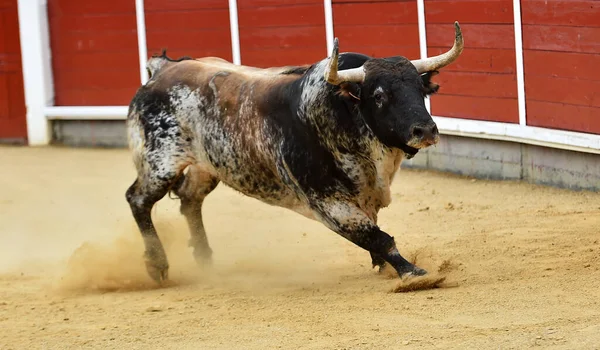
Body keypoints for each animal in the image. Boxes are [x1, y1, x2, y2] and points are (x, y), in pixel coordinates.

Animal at [125, 21, 464, 284]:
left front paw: (384, 267)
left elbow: (374, 233)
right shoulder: (327, 202)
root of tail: (162, 70)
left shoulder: (365, 194)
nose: (425, 131)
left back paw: (205, 259)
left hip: (207, 165)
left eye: (420, 90)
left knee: (190, 198)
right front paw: (413, 273)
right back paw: (157, 265)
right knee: (138, 199)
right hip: (160, 163)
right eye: (379, 96)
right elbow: (378, 236)